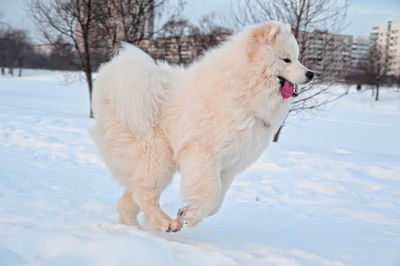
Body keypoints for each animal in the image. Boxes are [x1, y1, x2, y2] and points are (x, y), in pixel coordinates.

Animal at [90, 20, 312, 232]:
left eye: (297, 58)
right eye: (286, 59)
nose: (311, 74)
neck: (241, 90)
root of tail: (111, 86)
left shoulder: (229, 166)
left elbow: (217, 203)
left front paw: (187, 212)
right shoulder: (203, 153)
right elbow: (210, 193)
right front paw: (192, 215)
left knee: (131, 195)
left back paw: (134, 227)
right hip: (157, 157)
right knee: (145, 193)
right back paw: (166, 223)